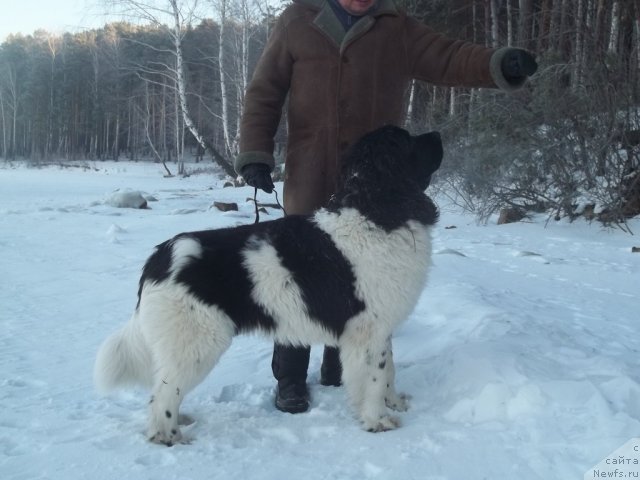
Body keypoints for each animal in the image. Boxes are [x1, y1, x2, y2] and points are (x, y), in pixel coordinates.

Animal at [95, 124, 442, 446]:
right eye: (407, 140)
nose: (439, 134)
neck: (375, 211)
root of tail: (160, 256)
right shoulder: (367, 331)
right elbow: (374, 377)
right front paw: (377, 421)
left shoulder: (382, 327)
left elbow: (388, 370)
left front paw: (393, 403)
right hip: (196, 342)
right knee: (162, 395)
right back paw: (169, 436)